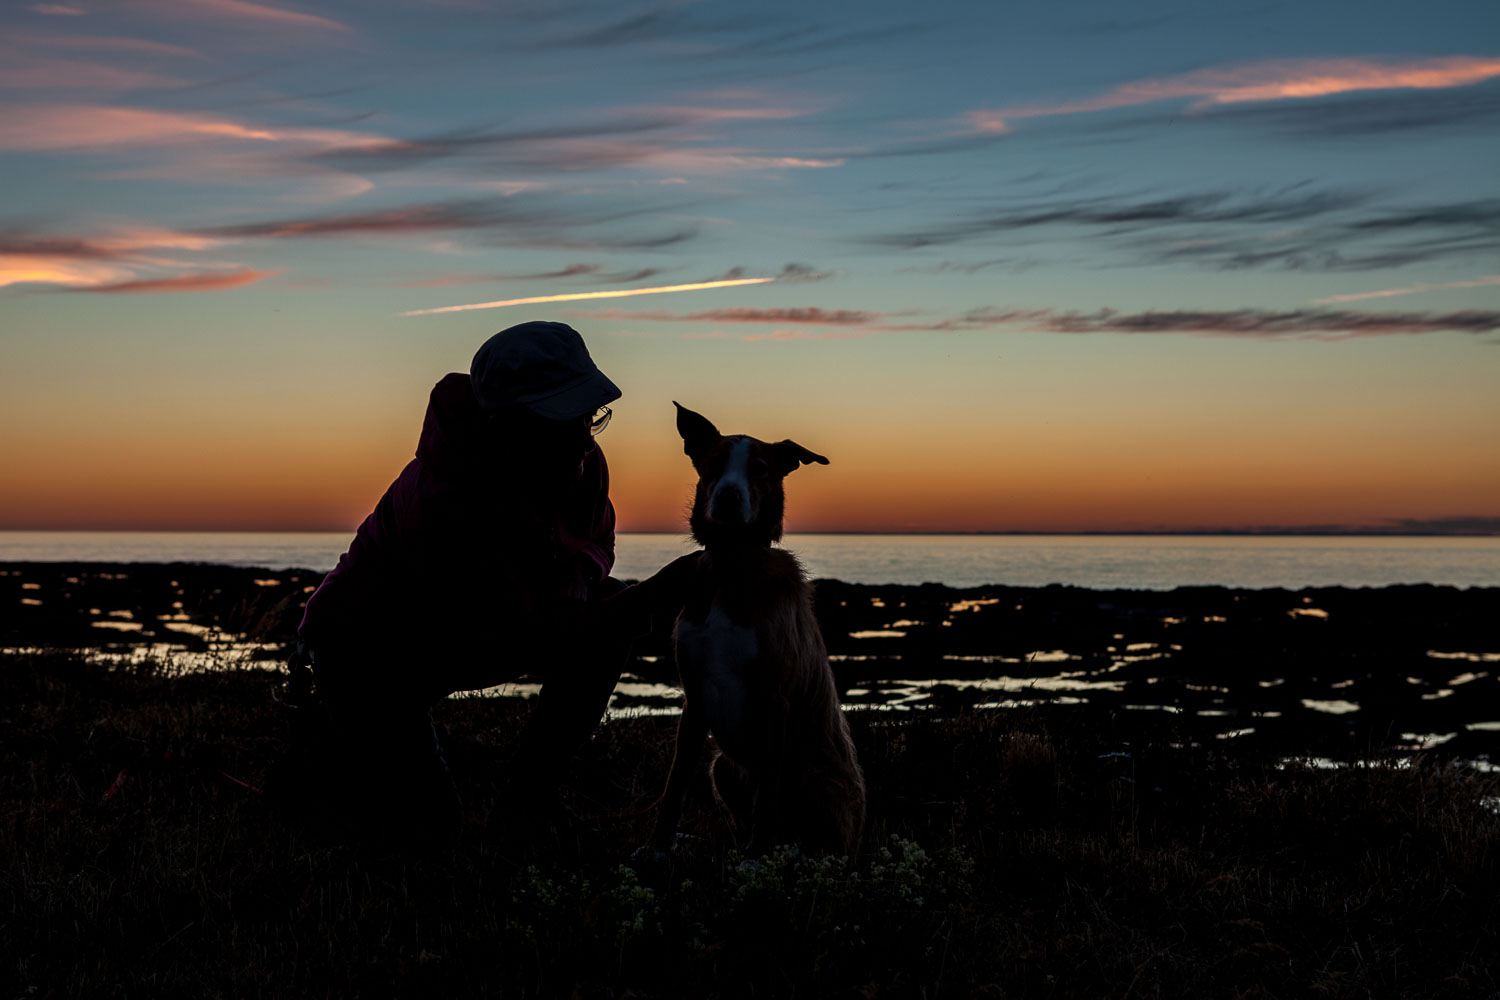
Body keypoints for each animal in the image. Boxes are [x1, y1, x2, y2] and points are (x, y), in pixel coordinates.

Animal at [648, 401, 870, 857]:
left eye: (760, 469)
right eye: (714, 463)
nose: (729, 497)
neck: (732, 564)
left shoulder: (774, 698)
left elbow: (769, 795)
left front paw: (759, 856)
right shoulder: (694, 698)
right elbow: (675, 782)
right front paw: (658, 845)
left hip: (812, 777)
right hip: (723, 767)